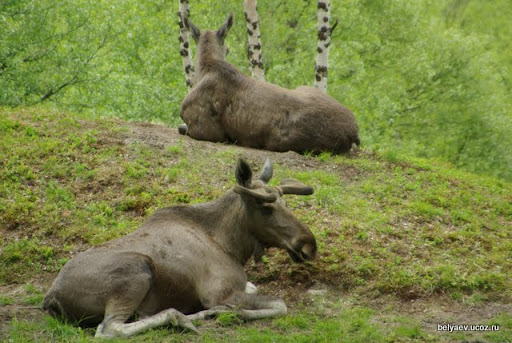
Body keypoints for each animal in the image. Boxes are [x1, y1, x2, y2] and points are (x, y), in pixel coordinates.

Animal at [43, 158, 316, 338]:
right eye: (266, 208)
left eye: (285, 203)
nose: (309, 245)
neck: (231, 245)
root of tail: (51, 298)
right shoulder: (219, 293)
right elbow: (279, 305)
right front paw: (226, 312)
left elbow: (256, 288)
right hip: (137, 269)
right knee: (109, 329)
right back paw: (181, 318)